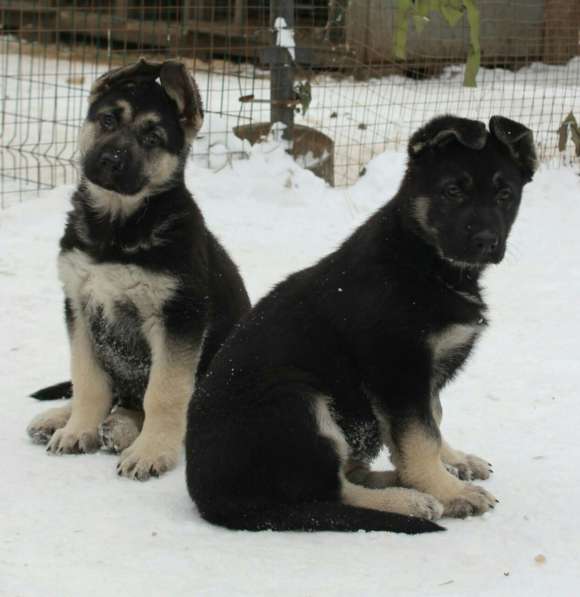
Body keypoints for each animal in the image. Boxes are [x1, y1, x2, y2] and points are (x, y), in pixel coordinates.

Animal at [27, 60, 250, 480]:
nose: (110, 161)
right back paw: (62, 419)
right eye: (108, 120)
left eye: (153, 138)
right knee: (114, 393)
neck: (116, 229)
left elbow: (164, 392)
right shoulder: (79, 306)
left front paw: (152, 450)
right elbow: (87, 379)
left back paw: (122, 428)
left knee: (140, 402)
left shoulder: (178, 316)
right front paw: (78, 429)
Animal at [186, 115, 536, 532]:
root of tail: (208, 498)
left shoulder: (425, 374)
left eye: (505, 195)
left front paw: (453, 461)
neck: (424, 262)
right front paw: (446, 490)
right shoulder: (399, 370)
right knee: (327, 493)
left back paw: (395, 480)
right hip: (295, 399)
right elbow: (421, 437)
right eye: (452, 191)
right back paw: (407, 500)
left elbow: (433, 420)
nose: (486, 241)